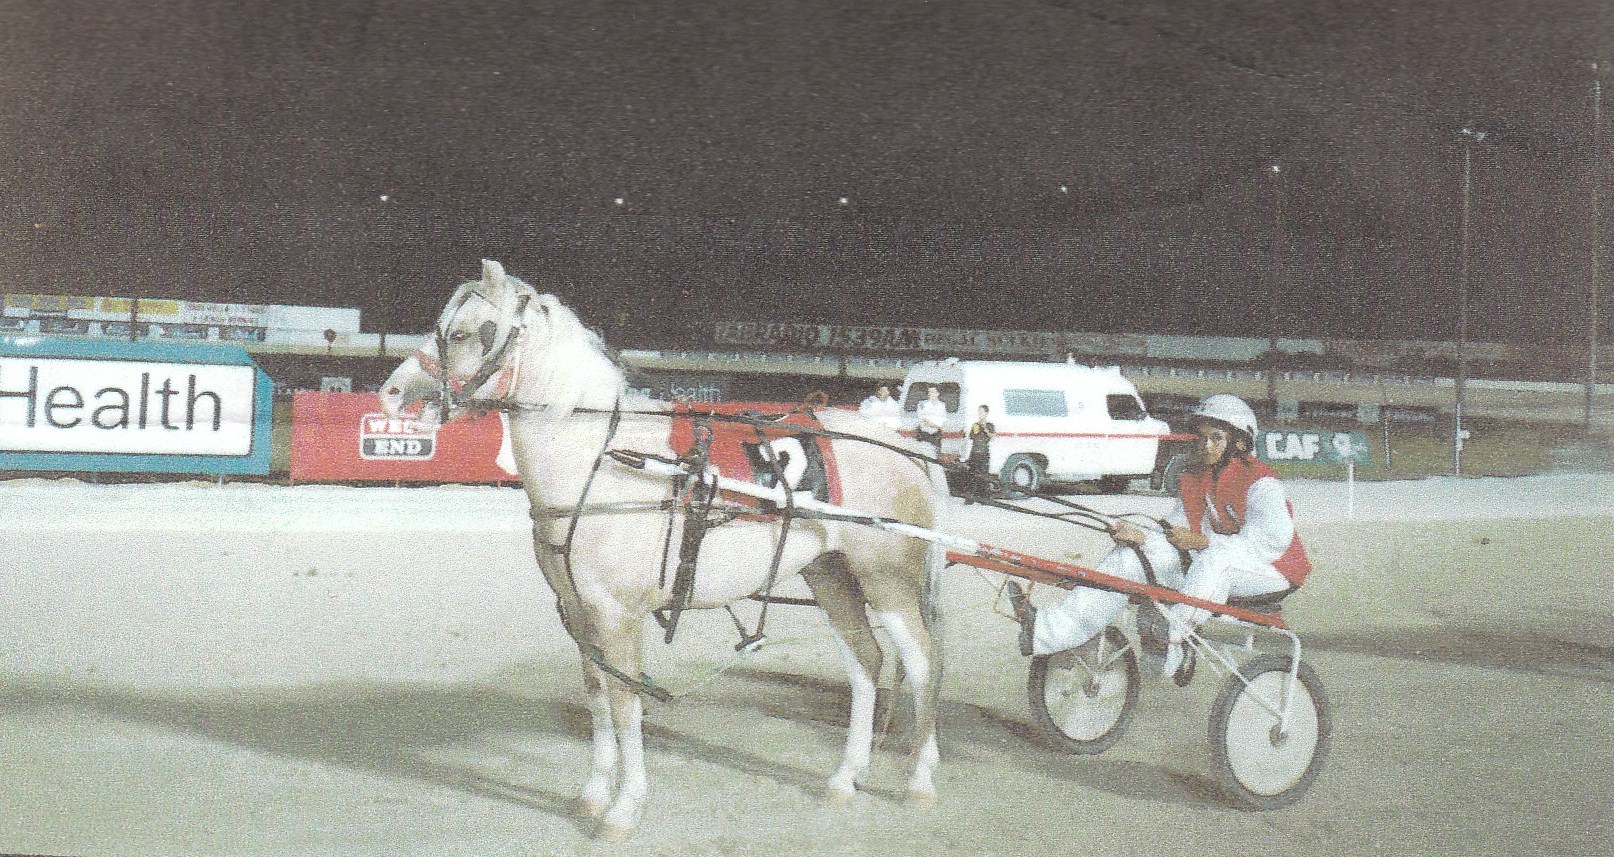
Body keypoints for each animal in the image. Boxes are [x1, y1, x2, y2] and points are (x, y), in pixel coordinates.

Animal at [379, 260, 948, 840]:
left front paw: (623, 808)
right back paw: (846, 777)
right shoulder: (581, 611)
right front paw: (593, 794)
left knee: (923, 663)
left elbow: (625, 706)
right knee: (866, 661)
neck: (603, 460)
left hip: (888, 580)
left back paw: (920, 783)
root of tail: (906, 446)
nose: (393, 393)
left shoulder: (616, 615)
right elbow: (598, 696)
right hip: (831, 574)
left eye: (462, 333)